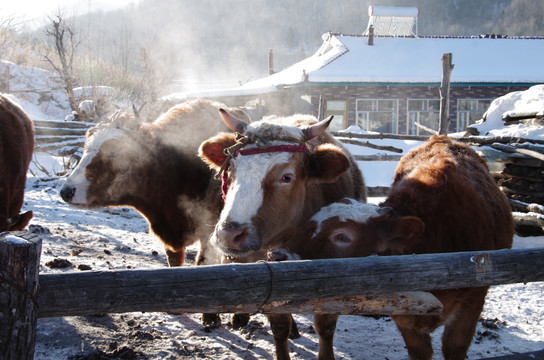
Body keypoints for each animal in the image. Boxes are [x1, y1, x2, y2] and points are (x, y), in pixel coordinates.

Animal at [198, 109, 368, 360]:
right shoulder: (268, 277)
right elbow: (279, 326)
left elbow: (325, 326)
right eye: (232, 171)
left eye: (286, 177)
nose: (230, 234)